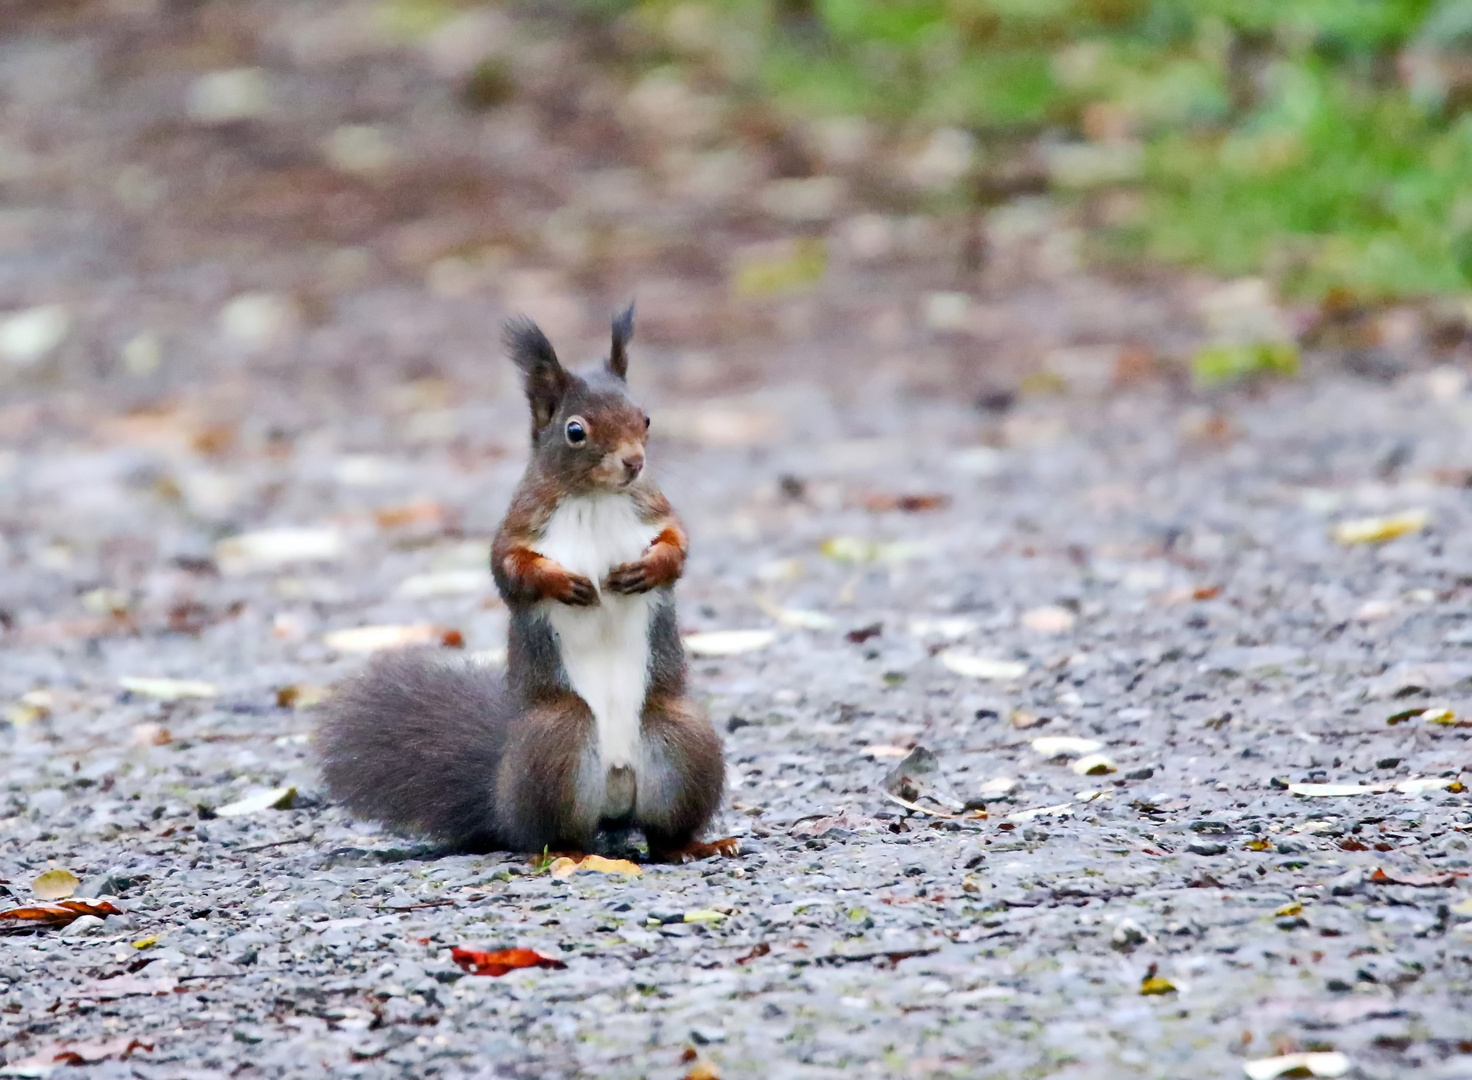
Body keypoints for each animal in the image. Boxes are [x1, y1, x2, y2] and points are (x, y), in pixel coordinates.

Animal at [320, 308, 724, 859]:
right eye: (575, 431)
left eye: (645, 418)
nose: (634, 462)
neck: (594, 499)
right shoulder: (517, 527)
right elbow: (509, 570)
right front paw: (564, 583)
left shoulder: (656, 510)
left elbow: (677, 545)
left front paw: (648, 569)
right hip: (556, 743)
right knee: (553, 834)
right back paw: (572, 853)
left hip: (682, 740)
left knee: (664, 833)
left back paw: (695, 846)